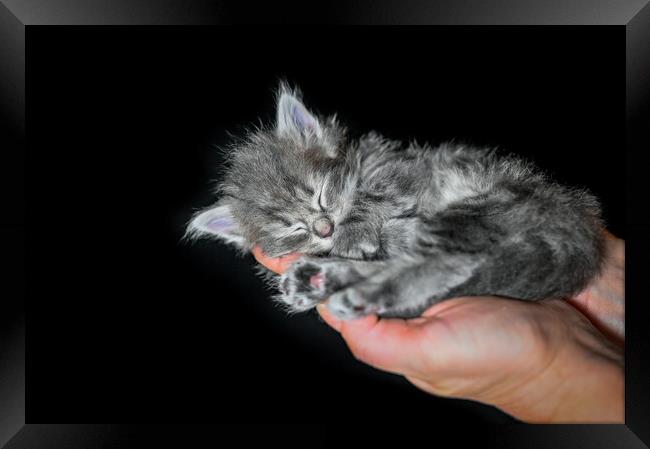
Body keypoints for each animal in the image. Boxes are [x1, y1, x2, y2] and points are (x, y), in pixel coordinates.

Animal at [186, 83, 604, 318]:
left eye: (320, 193)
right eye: (292, 227)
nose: (326, 229)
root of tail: (576, 218)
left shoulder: (403, 169)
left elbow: (370, 200)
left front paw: (354, 230)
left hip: (477, 209)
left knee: (450, 263)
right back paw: (322, 279)